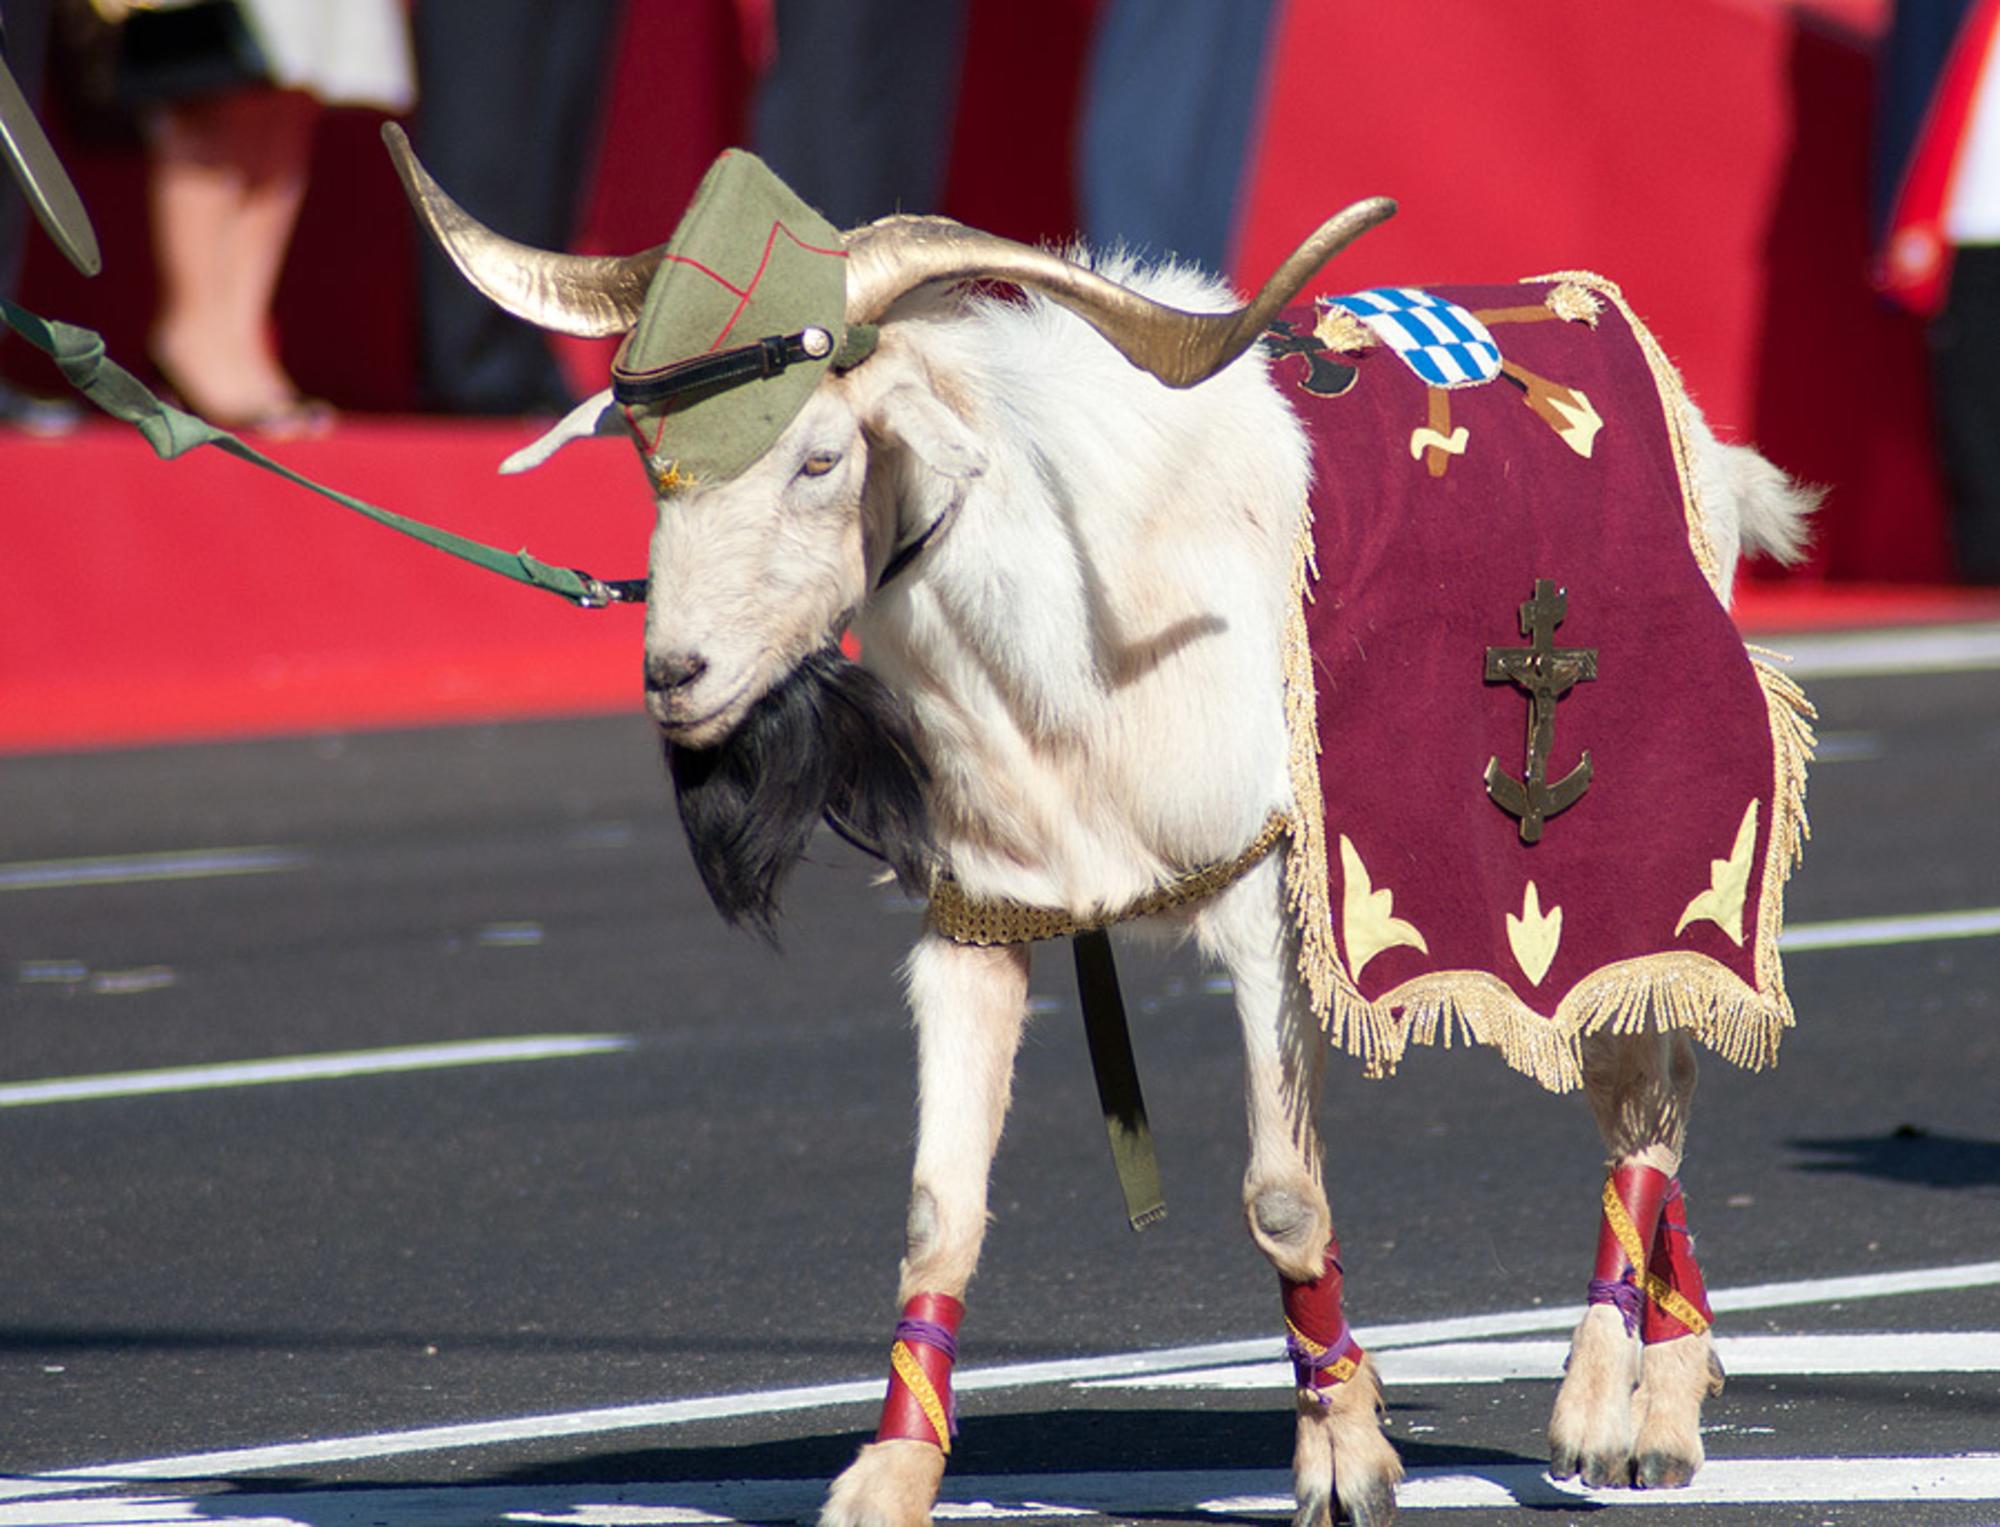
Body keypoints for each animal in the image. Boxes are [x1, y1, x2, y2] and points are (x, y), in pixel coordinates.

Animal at [390, 133, 1816, 1527]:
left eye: (818, 457)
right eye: (650, 462)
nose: (674, 675)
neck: (1074, 648)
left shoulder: (1271, 902)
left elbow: (1282, 1198)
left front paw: (1344, 1460)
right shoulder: (975, 924)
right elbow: (938, 1210)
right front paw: (886, 1481)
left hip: (1626, 858)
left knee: (1647, 1081)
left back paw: (1612, 1418)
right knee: (1647, 1078)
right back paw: (1669, 1391)